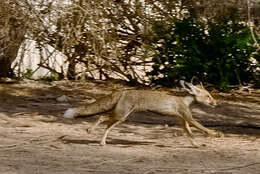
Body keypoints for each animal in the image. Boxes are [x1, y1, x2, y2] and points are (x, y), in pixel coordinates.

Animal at [63, 81, 221, 146]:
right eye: (208, 96)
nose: (216, 103)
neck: (184, 100)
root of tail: (123, 91)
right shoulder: (190, 118)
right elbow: (203, 128)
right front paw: (216, 134)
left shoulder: (183, 121)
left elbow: (190, 135)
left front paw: (196, 145)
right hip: (121, 115)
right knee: (103, 118)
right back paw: (94, 134)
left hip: (122, 117)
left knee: (105, 121)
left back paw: (98, 138)